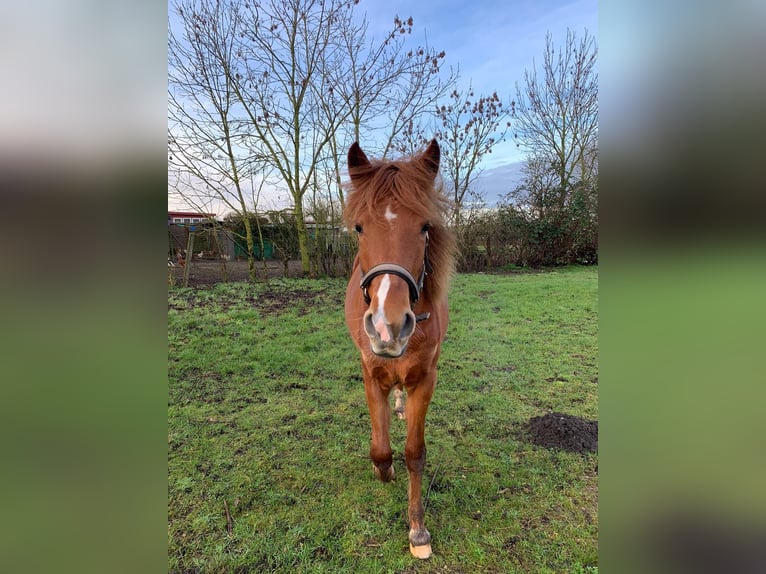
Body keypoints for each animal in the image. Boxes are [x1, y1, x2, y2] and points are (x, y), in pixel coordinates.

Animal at [344, 137, 456, 560]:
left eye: (424, 227)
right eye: (359, 228)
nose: (387, 326)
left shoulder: (425, 378)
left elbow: (414, 453)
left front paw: (418, 531)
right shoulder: (370, 374)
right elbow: (380, 449)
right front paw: (385, 471)